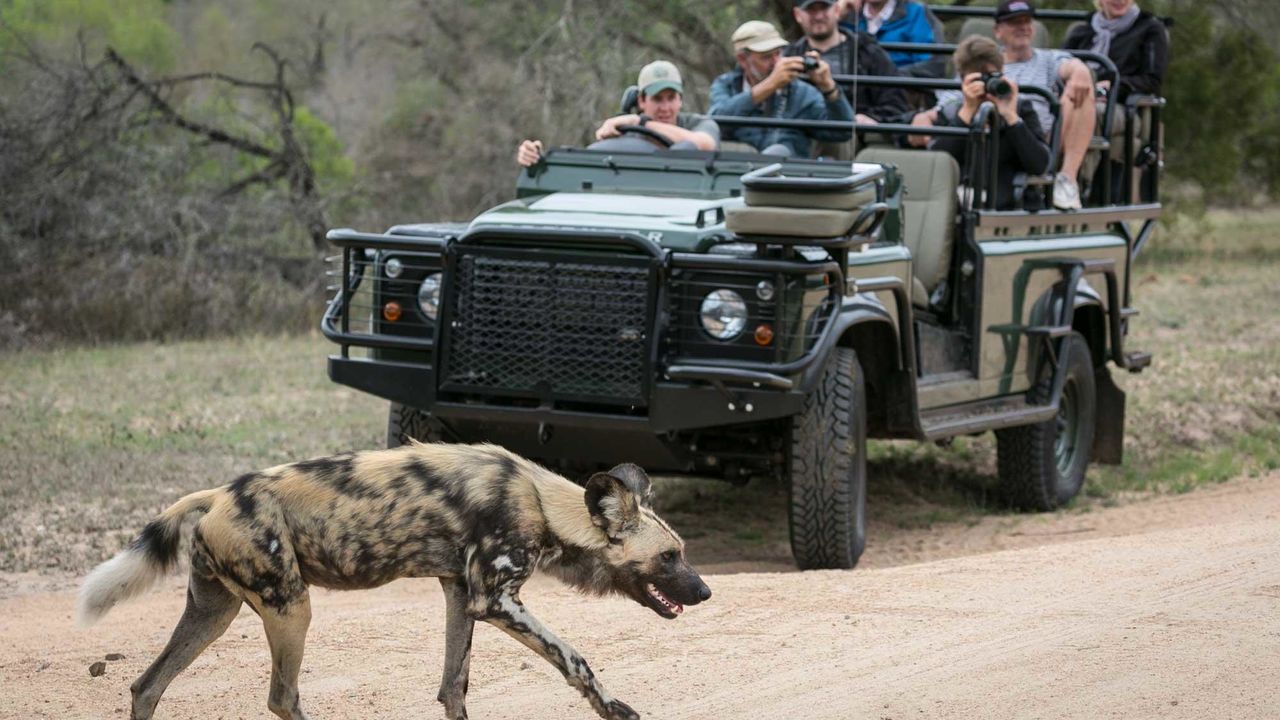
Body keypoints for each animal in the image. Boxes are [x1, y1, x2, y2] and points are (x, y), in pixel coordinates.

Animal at [78, 438, 711, 717]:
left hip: (214, 612)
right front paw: (612, 706)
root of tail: (216, 494)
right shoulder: (495, 600)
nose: (705, 591)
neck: (540, 500)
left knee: (146, 686)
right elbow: (575, 657)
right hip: (291, 609)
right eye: (668, 558)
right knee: (282, 696)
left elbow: (454, 685)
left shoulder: (461, 594)